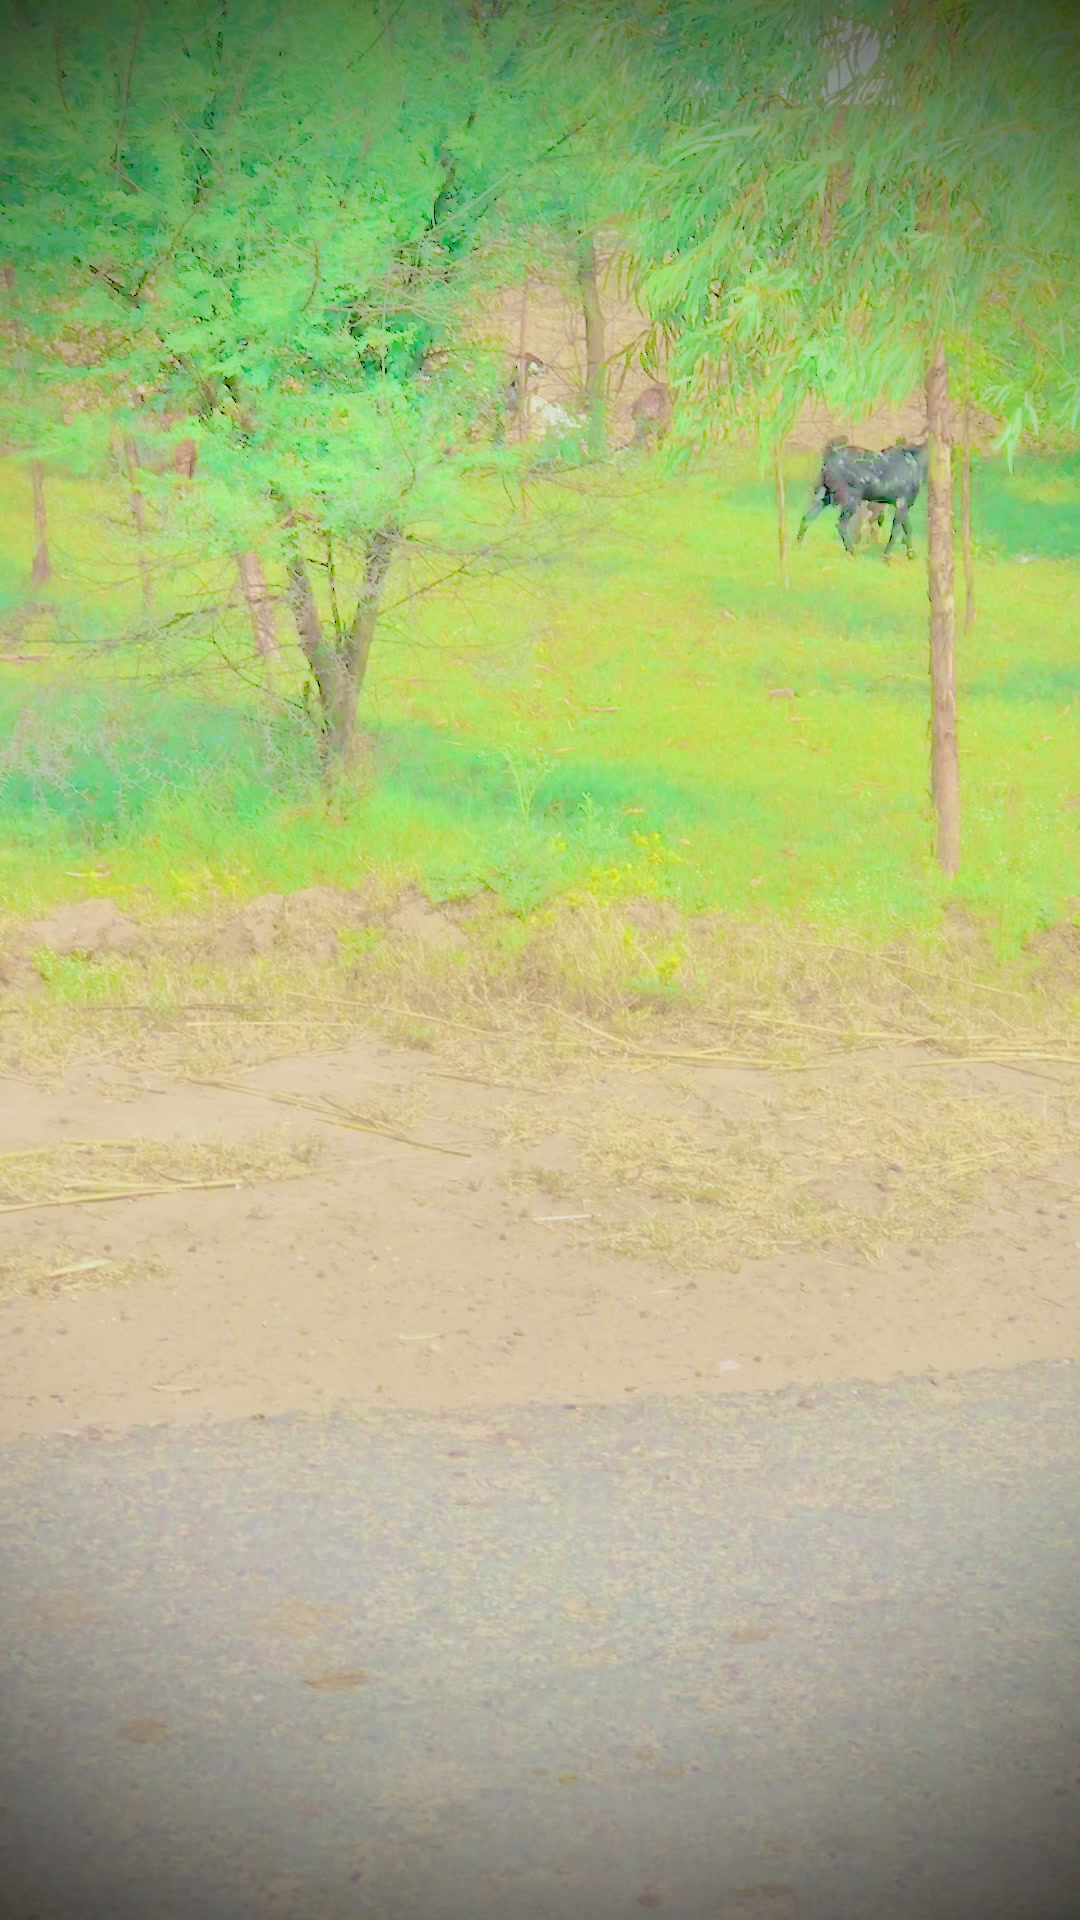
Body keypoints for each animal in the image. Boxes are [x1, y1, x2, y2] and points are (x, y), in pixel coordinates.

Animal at [797, 438, 929, 559]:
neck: (919, 462)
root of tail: (828, 459)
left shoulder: (905, 503)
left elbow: (908, 529)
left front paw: (911, 555)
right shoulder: (902, 500)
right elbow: (896, 530)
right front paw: (886, 557)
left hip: (824, 495)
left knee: (806, 518)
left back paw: (796, 546)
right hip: (851, 499)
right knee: (841, 524)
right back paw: (853, 554)